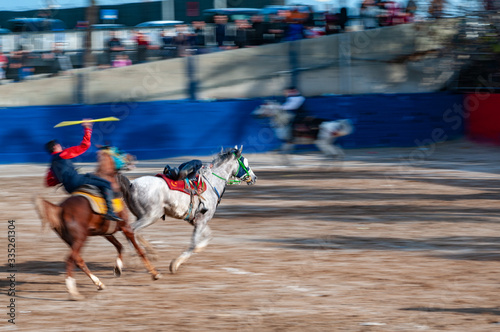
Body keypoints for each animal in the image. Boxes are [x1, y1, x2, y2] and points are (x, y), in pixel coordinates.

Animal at [35, 147, 159, 300]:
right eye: (118, 152)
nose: (132, 157)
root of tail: (61, 209)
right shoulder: (126, 228)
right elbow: (139, 250)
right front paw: (154, 273)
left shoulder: (106, 232)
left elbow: (120, 247)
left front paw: (118, 268)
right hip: (80, 239)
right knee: (70, 259)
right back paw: (73, 292)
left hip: (71, 240)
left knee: (78, 260)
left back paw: (98, 283)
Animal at [119, 147, 256, 274]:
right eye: (246, 163)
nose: (254, 177)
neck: (211, 183)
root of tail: (132, 184)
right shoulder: (201, 220)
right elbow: (194, 244)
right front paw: (175, 264)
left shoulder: (196, 221)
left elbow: (207, 238)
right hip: (150, 216)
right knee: (131, 230)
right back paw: (134, 258)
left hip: (142, 216)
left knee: (133, 232)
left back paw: (144, 254)